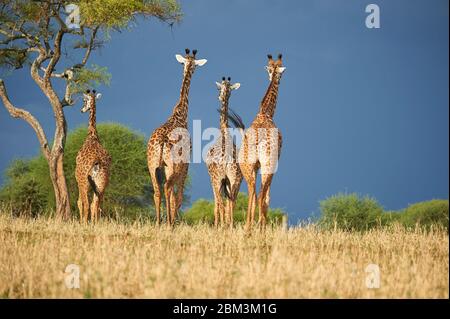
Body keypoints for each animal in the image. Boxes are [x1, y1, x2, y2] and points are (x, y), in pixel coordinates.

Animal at [75, 89, 111, 224]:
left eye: (84, 100)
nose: (81, 110)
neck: (92, 135)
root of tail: (96, 163)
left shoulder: (78, 178)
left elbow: (79, 202)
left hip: (84, 181)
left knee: (85, 203)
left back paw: (85, 223)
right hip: (101, 183)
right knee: (96, 204)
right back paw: (96, 223)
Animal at [148, 48, 207, 228]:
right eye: (195, 66)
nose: (192, 69)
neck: (180, 113)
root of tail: (161, 142)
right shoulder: (186, 164)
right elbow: (178, 196)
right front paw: (174, 221)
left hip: (152, 166)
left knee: (157, 191)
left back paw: (159, 222)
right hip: (172, 166)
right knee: (167, 188)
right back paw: (169, 223)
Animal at [237, 54, 286, 230]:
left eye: (271, 70)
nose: (276, 78)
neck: (266, 112)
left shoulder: (255, 166)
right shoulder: (274, 162)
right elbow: (267, 196)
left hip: (246, 166)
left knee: (252, 191)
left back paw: (248, 227)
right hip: (268, 164)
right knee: (261, 194)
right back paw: (260, 226)